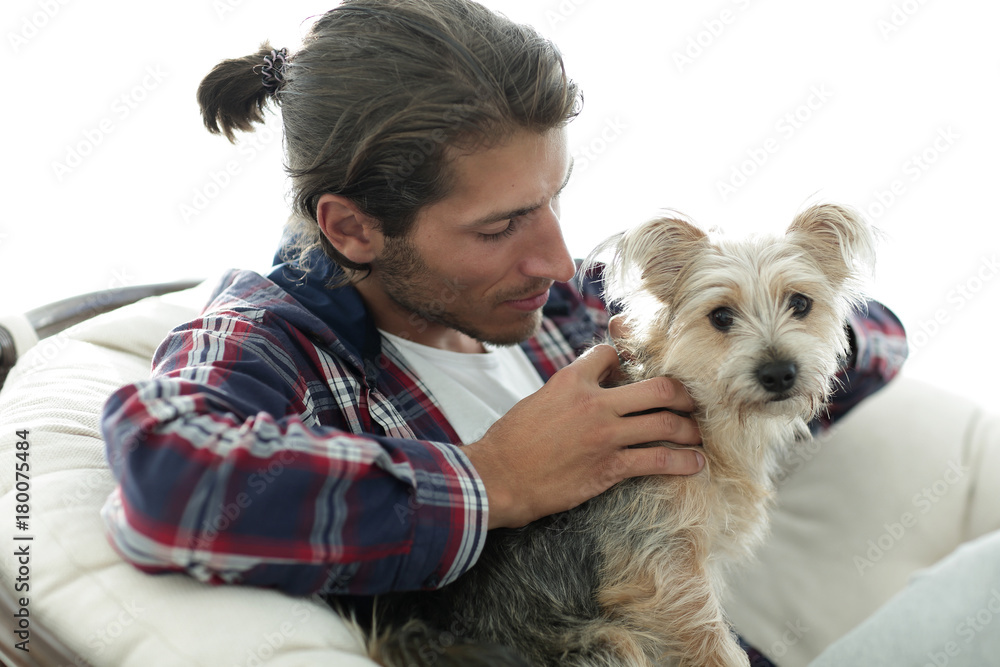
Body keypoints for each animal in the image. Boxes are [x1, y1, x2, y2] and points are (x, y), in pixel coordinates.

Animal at [360, 205, 876, 667]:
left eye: (801, 304)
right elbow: (711, 642)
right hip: (609, 641)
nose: (779, 373)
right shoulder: (662, 568)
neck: (711, 424)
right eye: (721, 316)